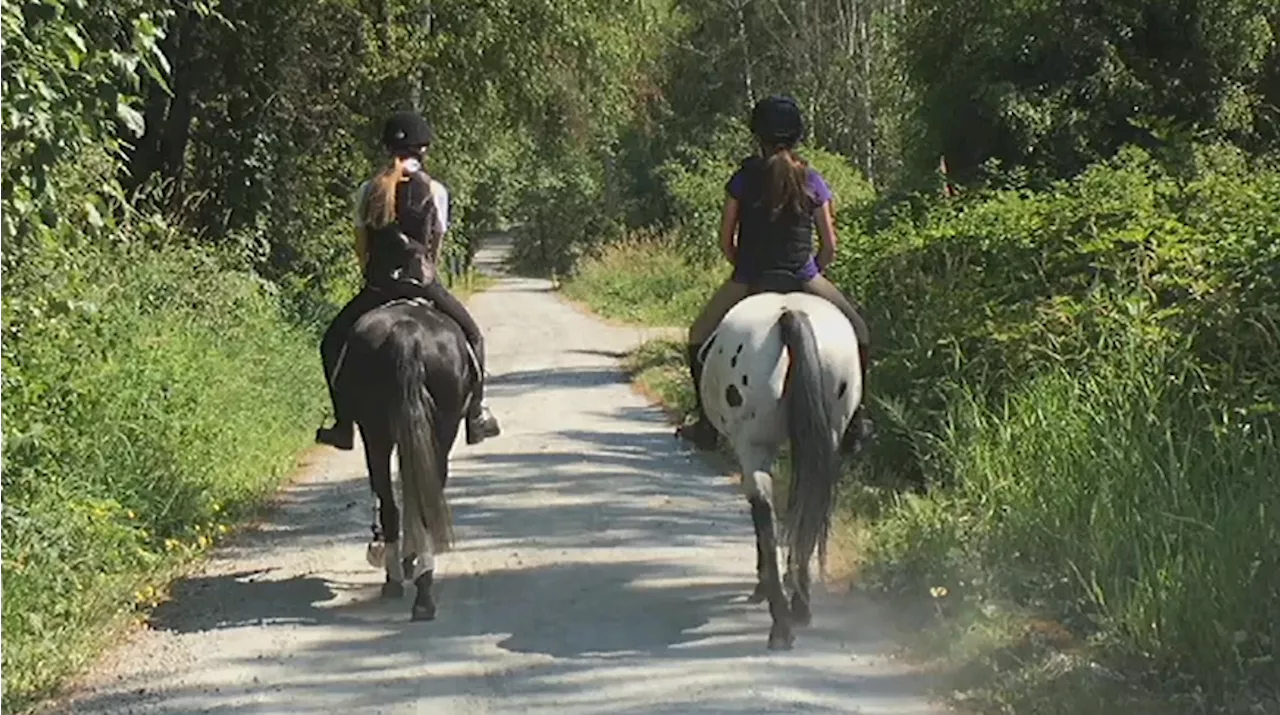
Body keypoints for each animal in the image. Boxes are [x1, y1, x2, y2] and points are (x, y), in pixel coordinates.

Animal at [696, 289, 865, 649]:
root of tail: (790, 315)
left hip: (753, 445)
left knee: (763, 507)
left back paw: (780, 619)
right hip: (827, 439)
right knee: (812, 505)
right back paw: (799, 606)